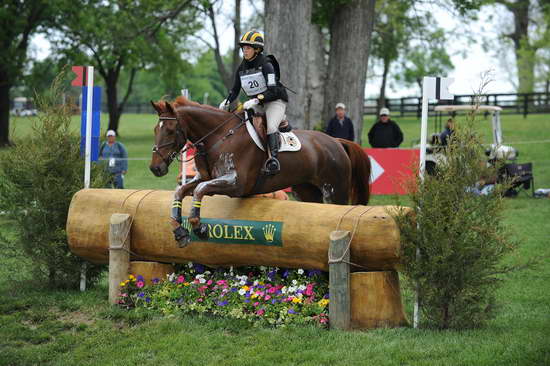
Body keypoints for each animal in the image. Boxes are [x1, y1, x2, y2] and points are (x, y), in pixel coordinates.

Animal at [150, 96, 370, 246]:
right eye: (155, 129)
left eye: (170, 130)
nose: (155, 168)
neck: (219, 136)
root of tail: (337, 141)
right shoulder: (207, 179)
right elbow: (182, 191)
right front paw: (179, 231)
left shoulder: (236, 184)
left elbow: (199, 190)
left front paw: (199, 227)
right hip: (306, 191)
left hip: (335, 190)